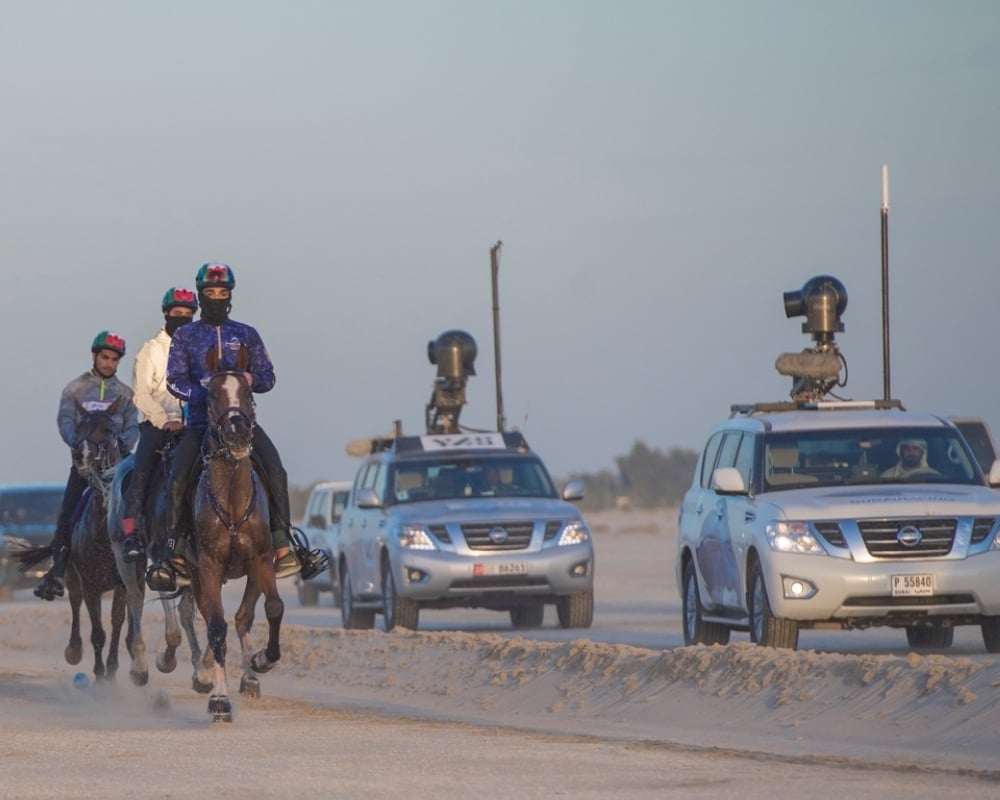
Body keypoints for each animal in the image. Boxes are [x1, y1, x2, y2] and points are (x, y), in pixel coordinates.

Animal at [107, 438, 213, 692]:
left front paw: (203, 673)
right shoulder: (160, 565)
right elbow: (173, 629)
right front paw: (166, 661)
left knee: (183, 611)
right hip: (123, 555)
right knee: (135, 600)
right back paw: (139, 667)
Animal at [189, 340, 284, 720]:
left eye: (247, 392)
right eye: (212, 394)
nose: (236, 432)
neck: (230, 501)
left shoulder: (261, 559)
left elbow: (272, 609)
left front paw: (261, 660)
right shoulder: (208, 566)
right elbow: (216, 627)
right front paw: (219, 698)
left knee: (243, 616)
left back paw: (249, 675)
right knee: (212, 620)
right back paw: (206, 677)